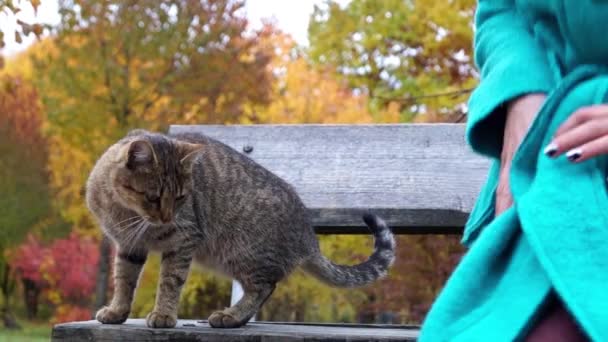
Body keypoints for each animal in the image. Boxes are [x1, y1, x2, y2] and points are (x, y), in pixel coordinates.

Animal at [86, 129, 400, 328]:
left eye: (180, 197)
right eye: (152, 197)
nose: (166, 218)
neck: (125, 213)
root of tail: (308, 236)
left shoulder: (183, 240)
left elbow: (170, 281)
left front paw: (163, 314)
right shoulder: (128, 246)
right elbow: (124, 280)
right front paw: (117, 311)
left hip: (243, 252)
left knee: (264, 287)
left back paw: (232, 316)